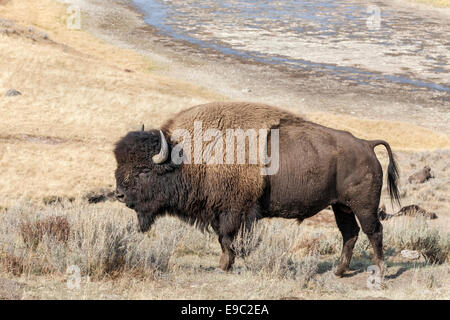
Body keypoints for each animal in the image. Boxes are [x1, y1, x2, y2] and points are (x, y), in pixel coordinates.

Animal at [113, 102, 400, 278]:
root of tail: (366, 144)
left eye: (144, 170)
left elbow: (227, 240)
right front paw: (226, 264)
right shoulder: (221, 213)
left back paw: (380, 271)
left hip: (363, 206)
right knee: (350, 234)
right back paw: (339, 272)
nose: (119, 194)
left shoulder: (233, 212)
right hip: (341, 206)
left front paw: (223, 266)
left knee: (374, 232)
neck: (187, 157)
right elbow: (224, 240)